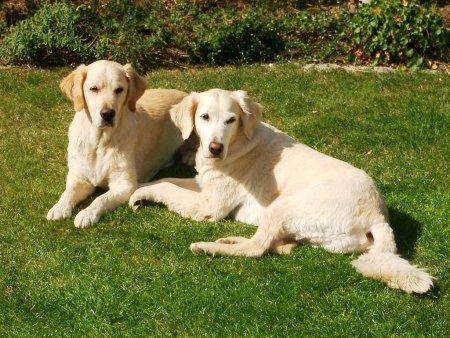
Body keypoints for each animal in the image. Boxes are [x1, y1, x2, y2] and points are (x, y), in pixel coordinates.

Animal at [46, 60, 185, 228]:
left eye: (119, 89)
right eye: (93, 89)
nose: (107, 114)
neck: (99, 141)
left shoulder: (125, 184)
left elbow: (101, 199)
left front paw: (87, 214)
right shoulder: (80, 177)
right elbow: (68, 192)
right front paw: (59, 208)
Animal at [128, 89, 434, 294]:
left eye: (230, 120)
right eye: (204, 117)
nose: (215, 148)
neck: (239, 142)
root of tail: (378, 215)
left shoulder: (209, 205)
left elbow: (166, 186)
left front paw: (137, 195)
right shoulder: (203, 184)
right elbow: (166, 179)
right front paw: (139, 187)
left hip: (283, 205)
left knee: (256, 249)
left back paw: (209, 247)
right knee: (281, 246)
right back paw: (230, 240)